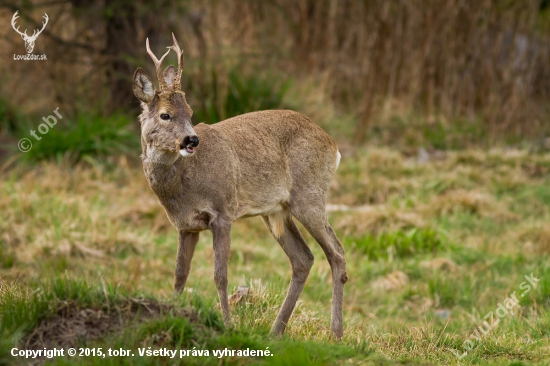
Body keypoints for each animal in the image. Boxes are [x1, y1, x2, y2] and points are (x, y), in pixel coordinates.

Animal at [133, 33, 350, 338]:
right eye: (165, 115)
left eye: (190, 112)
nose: (192, 139)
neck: (181, 184)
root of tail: (333, 145)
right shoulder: (185, 225)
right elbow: (179, 275)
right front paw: (172, 313)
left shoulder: (223, 212)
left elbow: (220, 275)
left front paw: (227, 324)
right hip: (276, 211)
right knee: (303, 259)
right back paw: (275, 332)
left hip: (309, 195)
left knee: (337, 252)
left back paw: (335, 333)